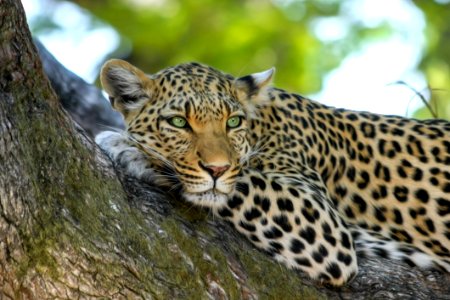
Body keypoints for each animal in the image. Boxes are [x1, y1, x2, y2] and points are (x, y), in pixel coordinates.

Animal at [96, 58, 450, 286]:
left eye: (233, 122)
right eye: (179, 122)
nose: (216, 168)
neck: (262, 125)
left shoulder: (323, 224)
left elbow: (242, 182)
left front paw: (130, 148)